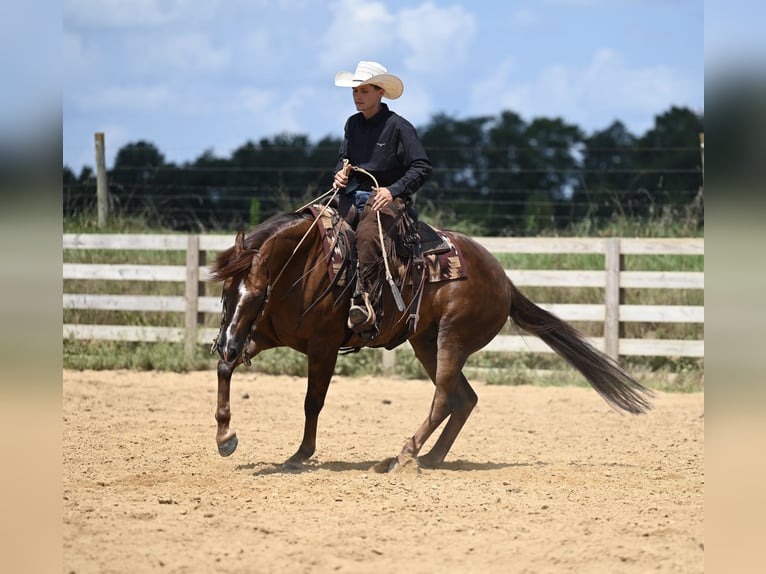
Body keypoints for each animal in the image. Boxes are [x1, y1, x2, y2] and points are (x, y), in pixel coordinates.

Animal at [208, 204, 653, 472]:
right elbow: (224, 369)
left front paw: (300, 455)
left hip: (451, 338)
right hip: (424, 341)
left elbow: (311, 401)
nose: (226, 340)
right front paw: (225, 437)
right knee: (464, 398)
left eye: (257, 294)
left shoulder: (323, 346)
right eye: (226, 292)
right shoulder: (261, 335)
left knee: (444, 396)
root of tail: (503, 280)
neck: (308, 264)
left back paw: (406, 454)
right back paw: (431, 457)